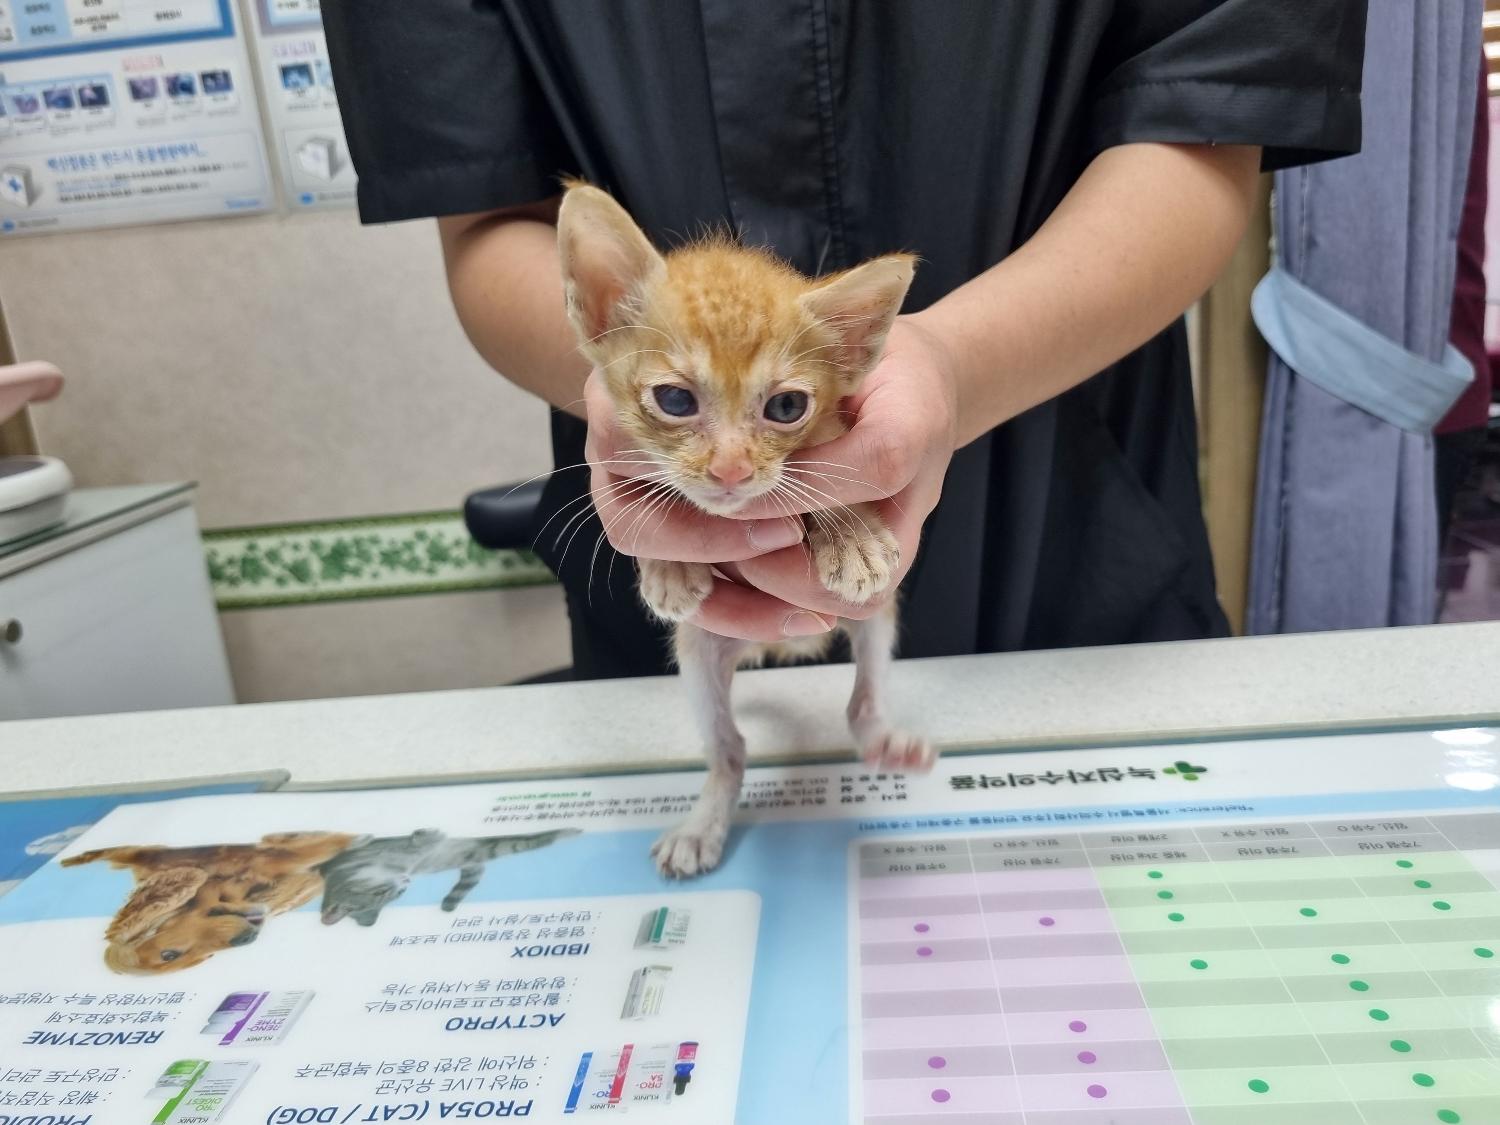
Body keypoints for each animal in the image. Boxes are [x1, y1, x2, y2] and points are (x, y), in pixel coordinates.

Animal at [558, 183, 930, 882]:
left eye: (786, 407)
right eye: (675, 401)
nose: (730, 470)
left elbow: (825, 479)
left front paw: (852, 535)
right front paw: (669, 564)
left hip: (875, 618)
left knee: (861, 699)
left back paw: (883, 740)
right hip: (699, 651)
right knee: (730, 747)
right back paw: (703, 824)